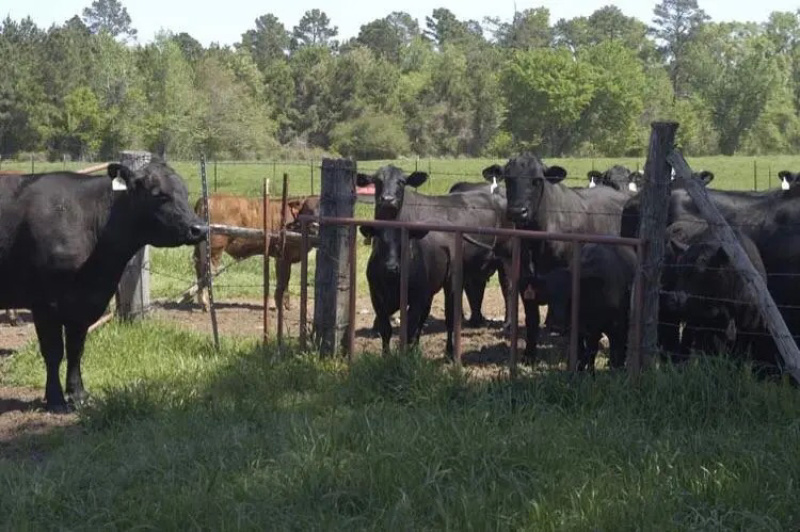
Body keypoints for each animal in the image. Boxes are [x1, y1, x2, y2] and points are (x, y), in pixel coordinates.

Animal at [0, 159, 206, 412]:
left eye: (185, 193)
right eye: (158, 194)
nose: (200, 228)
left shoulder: (83, 302)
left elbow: (76, 349)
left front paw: (79, 395)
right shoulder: (45, 303)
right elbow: (54, 351)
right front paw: (56, 399)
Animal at [360, 223, 450, 354]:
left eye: (404, 241)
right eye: (380, 240)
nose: (391, 267)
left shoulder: (417, 299)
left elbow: (410, 328)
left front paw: (405, 355)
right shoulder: (376, 298)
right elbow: (385, 329)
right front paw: (385, 355)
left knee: (425, 322)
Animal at [482, 154, 632, 362]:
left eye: (537, 180)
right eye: (509, 179)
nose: (518, 211)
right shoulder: (524, 280)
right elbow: (532, 319)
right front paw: (529, 355)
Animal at [536, 244, 636, 372]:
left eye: (570, 295)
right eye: (549, 296)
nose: (556, 327)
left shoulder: (604, 327)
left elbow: (595, 350)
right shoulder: (578, 330)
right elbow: (580, 351)